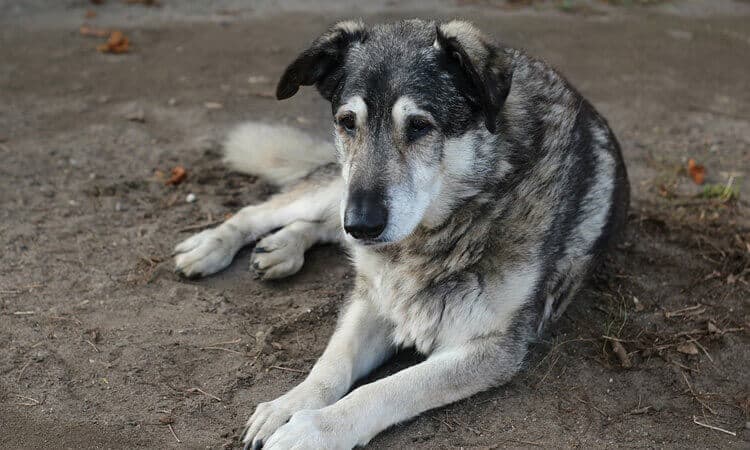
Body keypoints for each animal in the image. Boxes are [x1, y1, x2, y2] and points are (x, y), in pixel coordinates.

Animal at [173, 18, 632, 450]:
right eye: (347, 122)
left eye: (418, 126)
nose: (362, 224)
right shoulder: (373, 299)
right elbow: (331, 366)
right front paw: (288, 405)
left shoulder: (491, 347)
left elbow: (383, 390)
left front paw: (311, 430)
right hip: (338, 190)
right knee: (265, 211)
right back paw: (211, 247)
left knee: (321, 226)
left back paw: (283, 248)